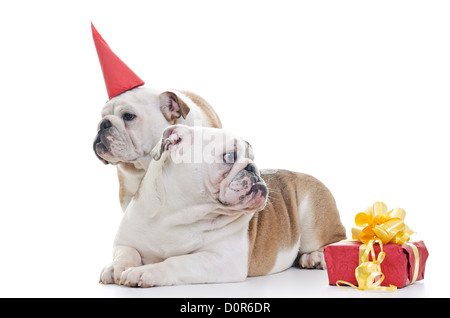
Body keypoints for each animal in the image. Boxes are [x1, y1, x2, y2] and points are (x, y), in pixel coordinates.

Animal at [100, 125, 346, 286]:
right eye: (229, 156)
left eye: (252, 157)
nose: (253, 167)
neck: (179, 212)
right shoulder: (126, 241)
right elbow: (126, 254)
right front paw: (116, 268)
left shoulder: (219, 260)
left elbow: (177, 262)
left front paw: (145, 272)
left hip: (311, 218)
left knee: (334, 241)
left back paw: (315, 257)